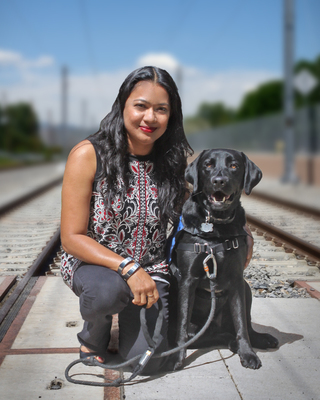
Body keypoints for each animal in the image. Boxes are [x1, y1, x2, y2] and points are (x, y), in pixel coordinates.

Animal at [170, 148, 278, 370]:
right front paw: (177, 357)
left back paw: (259, 339)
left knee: (243, 326)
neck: (216, 226)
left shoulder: (237, 278)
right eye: (208, 165)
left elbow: (241, 323)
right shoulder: (187, 279)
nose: (219, 181)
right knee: (207, 335)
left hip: (246, 289)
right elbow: (183, 324)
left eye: (234, 166)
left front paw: (248, 353)